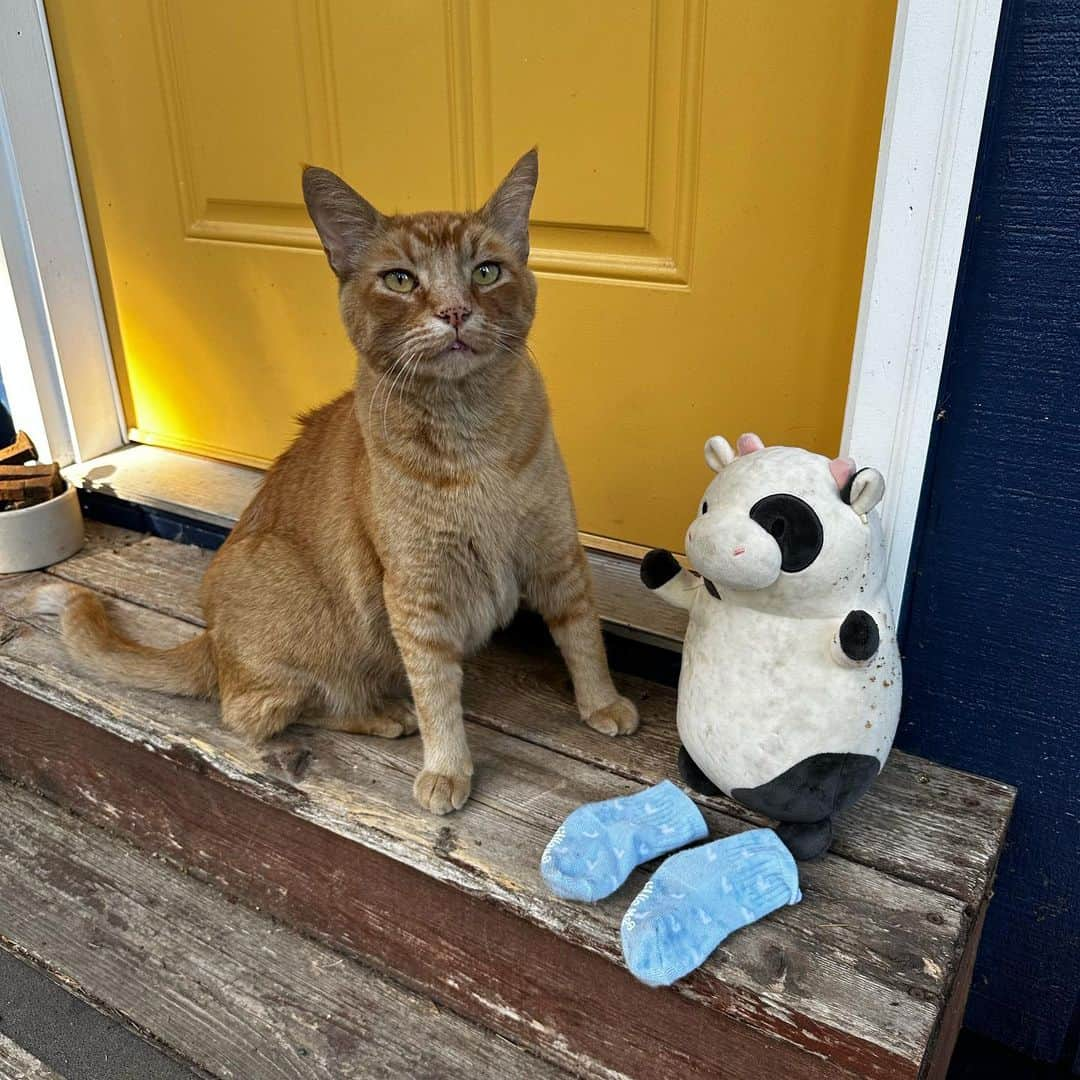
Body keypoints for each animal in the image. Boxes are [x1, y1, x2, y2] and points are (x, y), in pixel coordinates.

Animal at [35, 150, 639, 812]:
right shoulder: (416, 594)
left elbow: (583, 636)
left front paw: (602, 704)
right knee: (259, 712)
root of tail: (213, 641)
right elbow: (437, 692)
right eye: (400, 280)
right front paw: (447, 767)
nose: (455, 310)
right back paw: (384, 713)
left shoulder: (555, 551)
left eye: (485, 271)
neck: (470, 433)